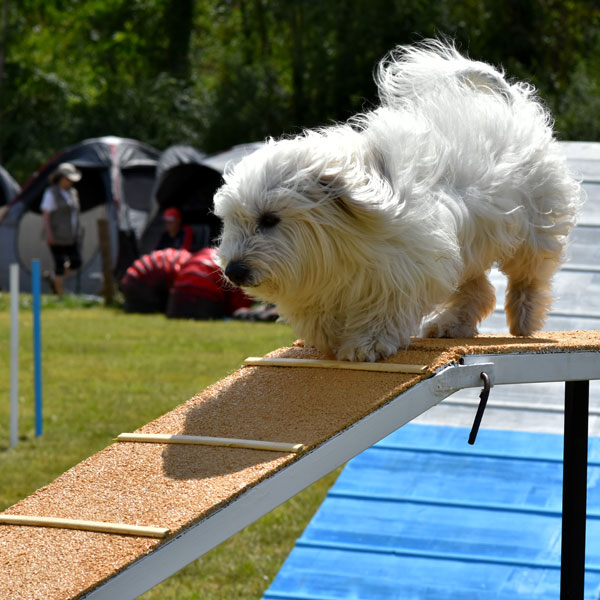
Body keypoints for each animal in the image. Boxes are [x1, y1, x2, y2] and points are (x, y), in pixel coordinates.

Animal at [212, 42, 580, 364]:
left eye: (269, 219)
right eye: (231, 220)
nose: (234, 271)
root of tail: (512, 106)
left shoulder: (405, 267)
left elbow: (385, 309)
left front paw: (367, 345)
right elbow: (321, 317)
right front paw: (330, 338)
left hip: (532, 229)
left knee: (528, 278)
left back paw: (523, 319)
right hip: (467, 247)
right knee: (478, 290)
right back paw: (451, 324)